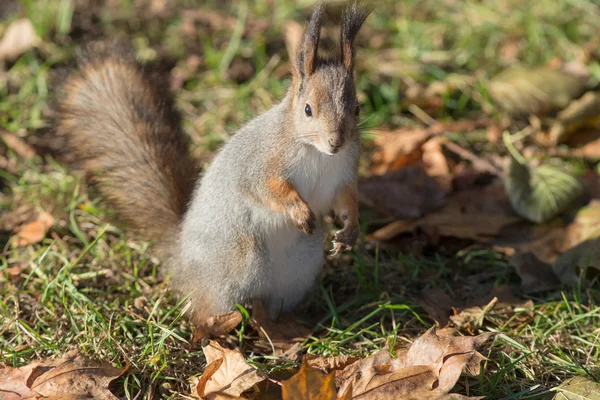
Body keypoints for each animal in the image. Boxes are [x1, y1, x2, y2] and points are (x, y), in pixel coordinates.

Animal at [56, 3, 370, 326]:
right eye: (308, 110)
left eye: (358, 108)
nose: (336, 142)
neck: (318, 154)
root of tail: (180, 262)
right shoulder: (263, 161)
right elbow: (266, 189)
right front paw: (300, 212)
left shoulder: (344, 173)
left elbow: (346, 200)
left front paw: (351, 231)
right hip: (239, 259)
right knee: (204, 308)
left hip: (301, 265)